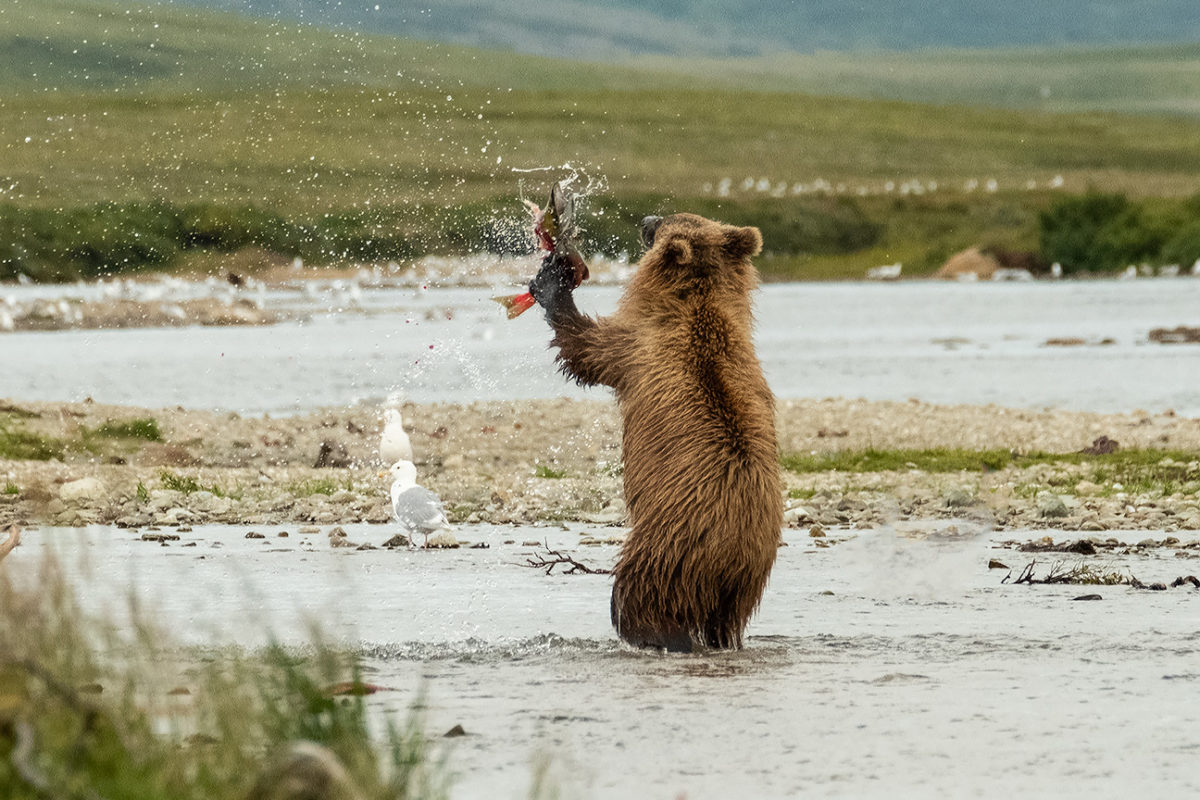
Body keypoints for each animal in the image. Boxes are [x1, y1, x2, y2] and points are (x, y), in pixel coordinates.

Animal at [529, 212, 783, 651]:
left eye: (667, 220)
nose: (646, 219)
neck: (695, 303)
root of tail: (731, 551)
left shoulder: (637, 347)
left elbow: (585, 349)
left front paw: (551, 281)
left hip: (668, 547)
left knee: (639, 594)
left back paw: (645, 634)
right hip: (745, 582)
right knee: (724, 621)